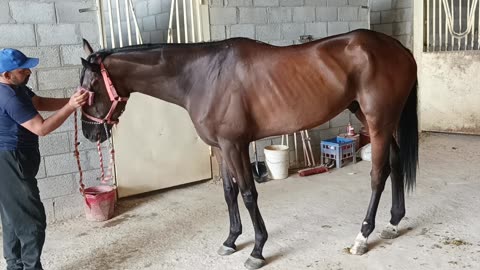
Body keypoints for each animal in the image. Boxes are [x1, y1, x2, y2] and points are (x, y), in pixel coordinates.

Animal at [78, 28, 416, 268]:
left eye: (91, 88)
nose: (90, 133)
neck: (201, 77)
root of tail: (398, 49)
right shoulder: (220, 147)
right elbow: (229, 192)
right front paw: (230, 240)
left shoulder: (234, 144)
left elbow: (248, 193)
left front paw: (257, 249)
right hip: (371, 117)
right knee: (396, 162)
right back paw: (393, 223)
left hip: (379, 120)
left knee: (378, 174)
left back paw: (362, 237)